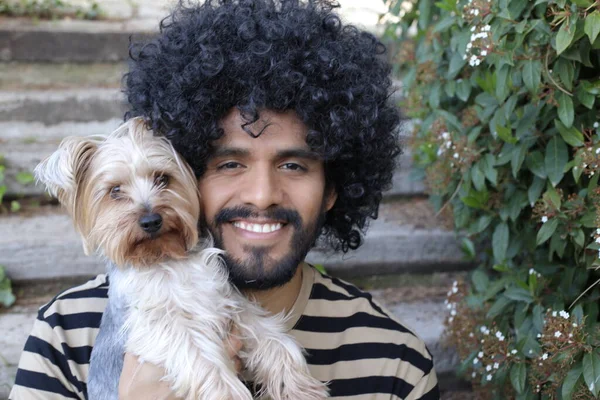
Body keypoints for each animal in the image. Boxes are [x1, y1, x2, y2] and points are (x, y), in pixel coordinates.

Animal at [34, 118, 328, 400]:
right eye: (115, 191)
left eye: (162, 178)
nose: (151, 220)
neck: (167, 259)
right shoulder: (161, 324)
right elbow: (199, 353)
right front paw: (227, 394)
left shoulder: (227, 301)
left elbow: (270, 336)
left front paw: (300, 386)